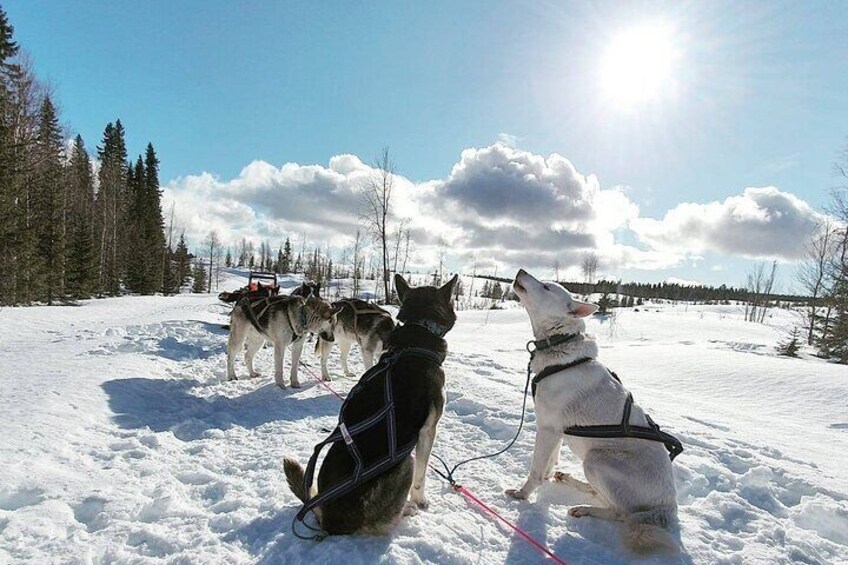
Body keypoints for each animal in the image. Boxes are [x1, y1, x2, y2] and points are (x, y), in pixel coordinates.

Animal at [284, 276, 458, 536]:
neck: (418, 332)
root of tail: (332, 521)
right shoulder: (428, 431)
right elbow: (421, 477)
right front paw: (421, 501)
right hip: (405, 460)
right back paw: (407, 509)